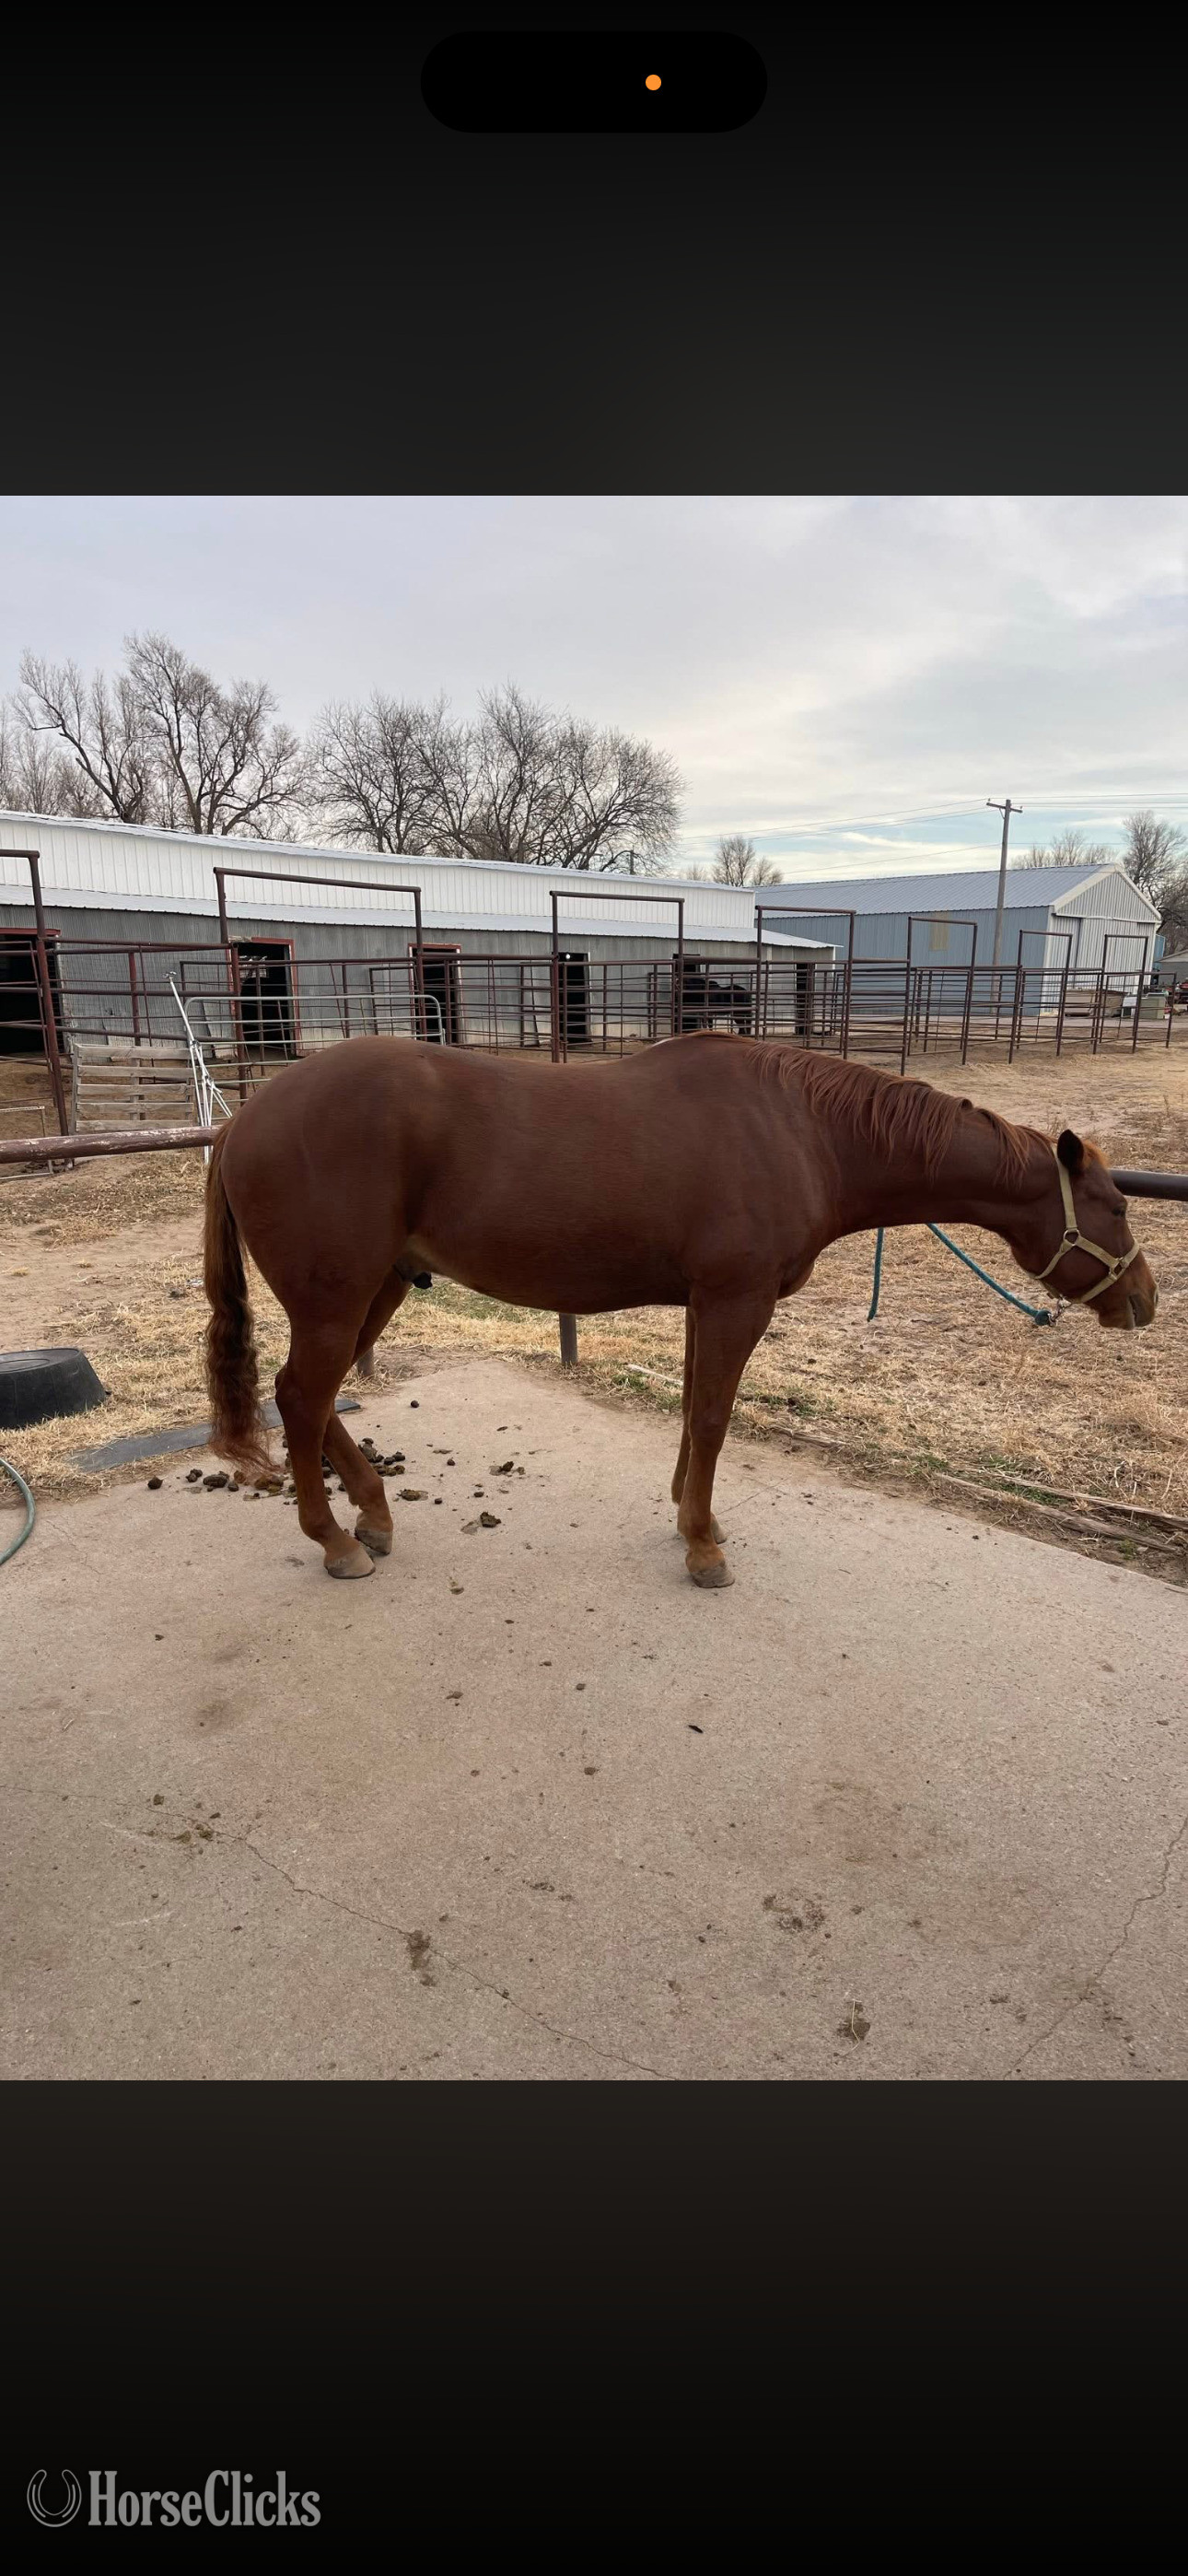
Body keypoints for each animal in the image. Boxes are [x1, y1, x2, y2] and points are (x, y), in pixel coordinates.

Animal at [203, 1032, 1157, 1589]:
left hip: (382, 1286)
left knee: (310, 1400)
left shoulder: (711, 1302)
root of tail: (244, 1118)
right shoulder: (737, 1300)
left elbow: (697, 1411)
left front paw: (692, 1515)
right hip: (338, 1298)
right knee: (301, 1399)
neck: (802, 1132)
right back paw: (335, 1540)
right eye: (1114, 1204)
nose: (1145, 1300)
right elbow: (712, 1417)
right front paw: (702, 1546)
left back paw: (372, 1513)